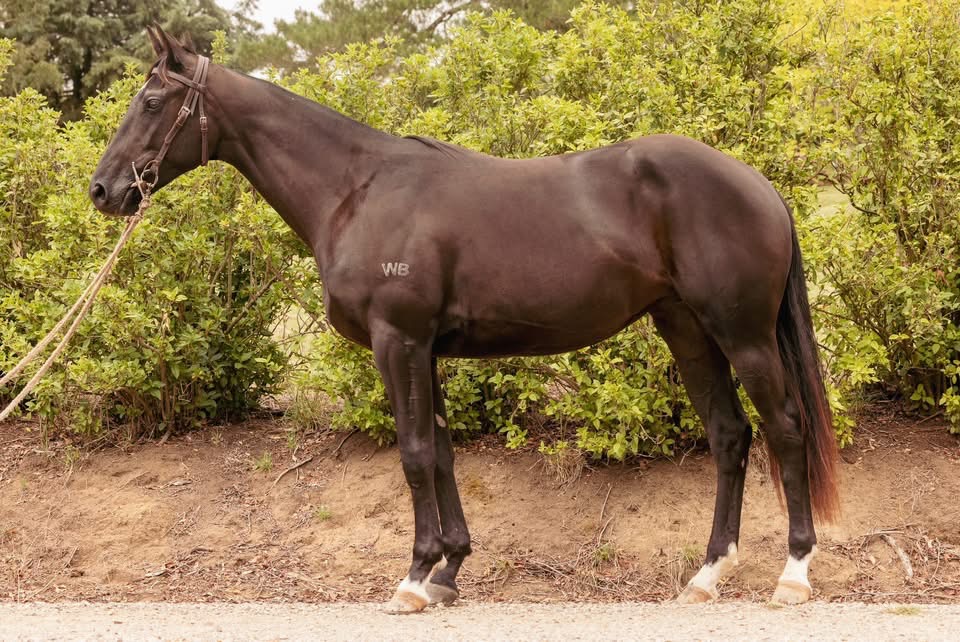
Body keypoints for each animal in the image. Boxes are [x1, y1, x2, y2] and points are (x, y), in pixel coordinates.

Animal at [90, 26, 839, 612]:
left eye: (151, 102)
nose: (104, 190)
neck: (356, 190)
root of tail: (759, 183)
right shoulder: (425, 351)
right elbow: (443, 454)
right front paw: (448, 569)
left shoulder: (398, 342)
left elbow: (416, 455)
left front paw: (415, 576)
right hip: (685, 329)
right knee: (730, 436)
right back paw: (708, 574)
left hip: (743, 336)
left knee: (785, 430)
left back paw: (794, 573)